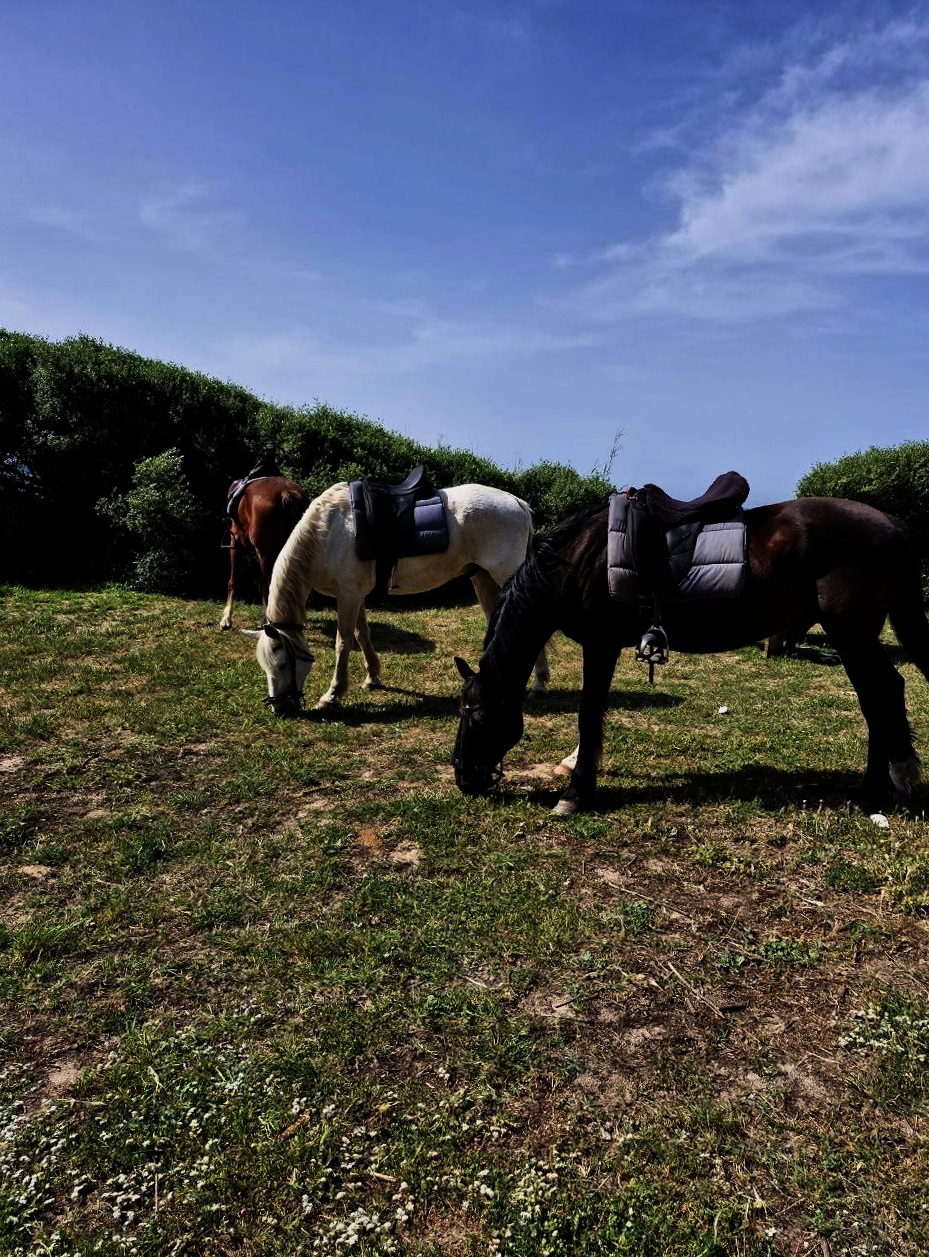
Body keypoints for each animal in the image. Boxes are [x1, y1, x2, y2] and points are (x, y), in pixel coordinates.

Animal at [219, 472, 309, 629]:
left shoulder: (235, 545)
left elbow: (233, 581)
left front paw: (226, 619)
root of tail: (285, 492)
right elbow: (261, 584)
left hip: (266, 555)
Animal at [243, 480, 550, 713]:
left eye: (282, 663)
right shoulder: (354, 594)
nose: (280, 709)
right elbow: (362, 634)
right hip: (483, 578)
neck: (326, 533)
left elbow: (343, 642)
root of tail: (517, 503)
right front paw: (373, 678)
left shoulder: (348, 594)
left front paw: (332, 695)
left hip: (503, 574)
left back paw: (539, 684)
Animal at [452, 495, 929, 816]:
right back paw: (895, 774)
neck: (582, 560)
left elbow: (589, 714)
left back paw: (872, 789)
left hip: (852, 636)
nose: (462, 777)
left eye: (476, 715)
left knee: (880, 695)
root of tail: (891, 523)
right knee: (886, 692)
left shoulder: (600, 645)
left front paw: (576, 792)